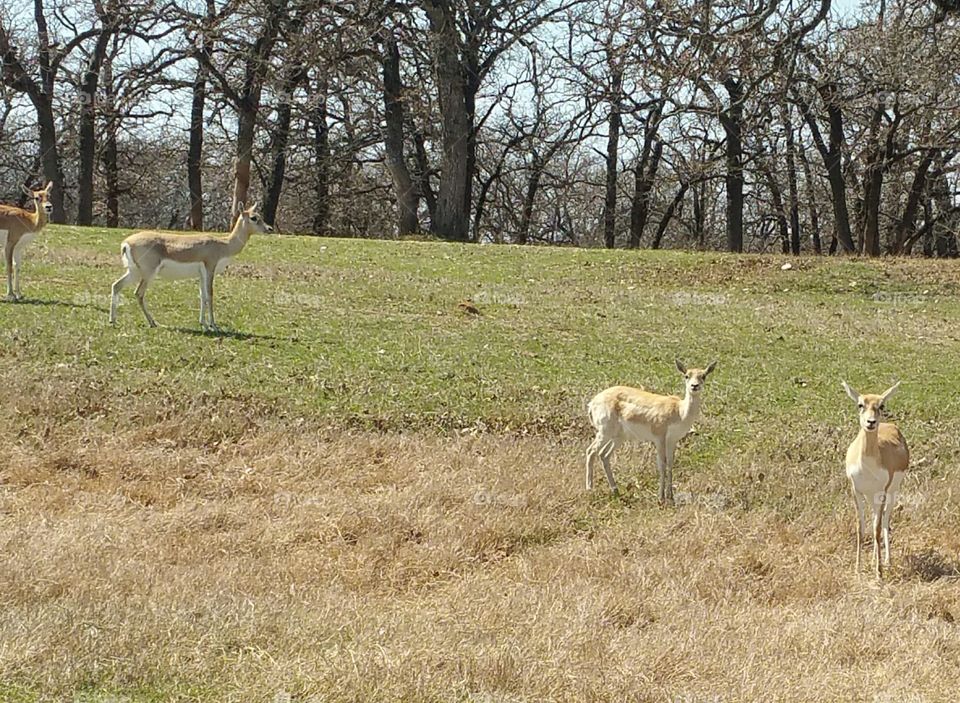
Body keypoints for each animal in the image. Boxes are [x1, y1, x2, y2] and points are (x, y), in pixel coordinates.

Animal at [109, 202, 272, 330]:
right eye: (254, 217)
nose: (269, 229)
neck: (224, 245)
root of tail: (127, 243)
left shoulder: (201, 274)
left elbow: (202, 296)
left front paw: (203, 323)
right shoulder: (210, 268)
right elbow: (210, 295)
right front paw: (213, 325)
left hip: (134, 272)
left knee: (116, 285)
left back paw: (113, 321)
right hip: (148, 273)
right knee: (138, 293)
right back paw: (152, 322)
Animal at [586, 360, 716, 503]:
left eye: (703, 376)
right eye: (686, 375)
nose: (694, 386)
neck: (679, 411)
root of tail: (592, 402)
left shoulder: (672, 440)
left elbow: (670, 463)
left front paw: (671, 496)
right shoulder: (659, 439)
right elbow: (662, 464)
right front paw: (661, 497)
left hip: (618, 437)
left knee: (604, 455)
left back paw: (615, 490)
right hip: (604, 433)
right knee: (591, 451)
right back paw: (590, 489)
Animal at [842, 380, 909, 579]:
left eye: (881, 405)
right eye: (860, 404)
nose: (870, 422)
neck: (867, 466)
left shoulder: (881, 492)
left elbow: (878, 528)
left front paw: (879, 573)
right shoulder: (856, 491)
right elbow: (860, 527)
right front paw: (857, 568)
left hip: (891, 493)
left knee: (885, 521)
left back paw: (885, 561)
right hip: (871, 496)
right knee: (873, 520)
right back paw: (873, 560)